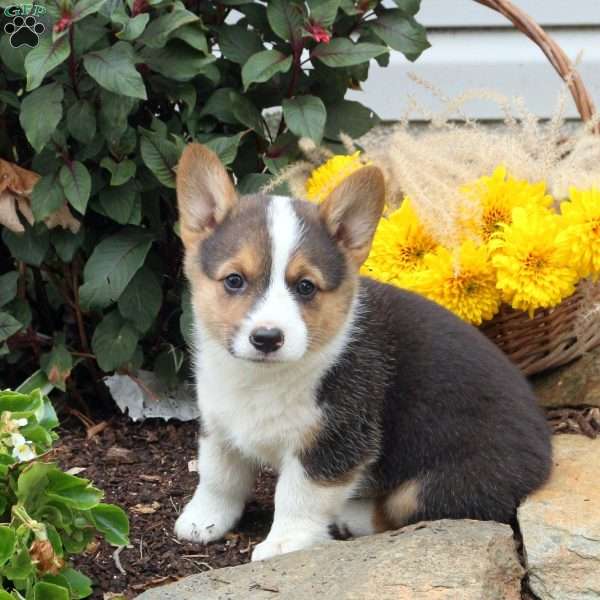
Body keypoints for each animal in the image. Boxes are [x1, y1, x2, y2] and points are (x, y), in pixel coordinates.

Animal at [173, 143, 552, 560]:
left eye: (305, 286)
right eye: (234, 280)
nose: (268, 338)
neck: (262, 377)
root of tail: (545, 450)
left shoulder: (333, 443)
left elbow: (297, 495)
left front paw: (284, 543)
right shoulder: (220, 424)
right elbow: (218, 476)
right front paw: (202, 521)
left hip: (437, 484)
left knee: (401, 510)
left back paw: (348, 517)